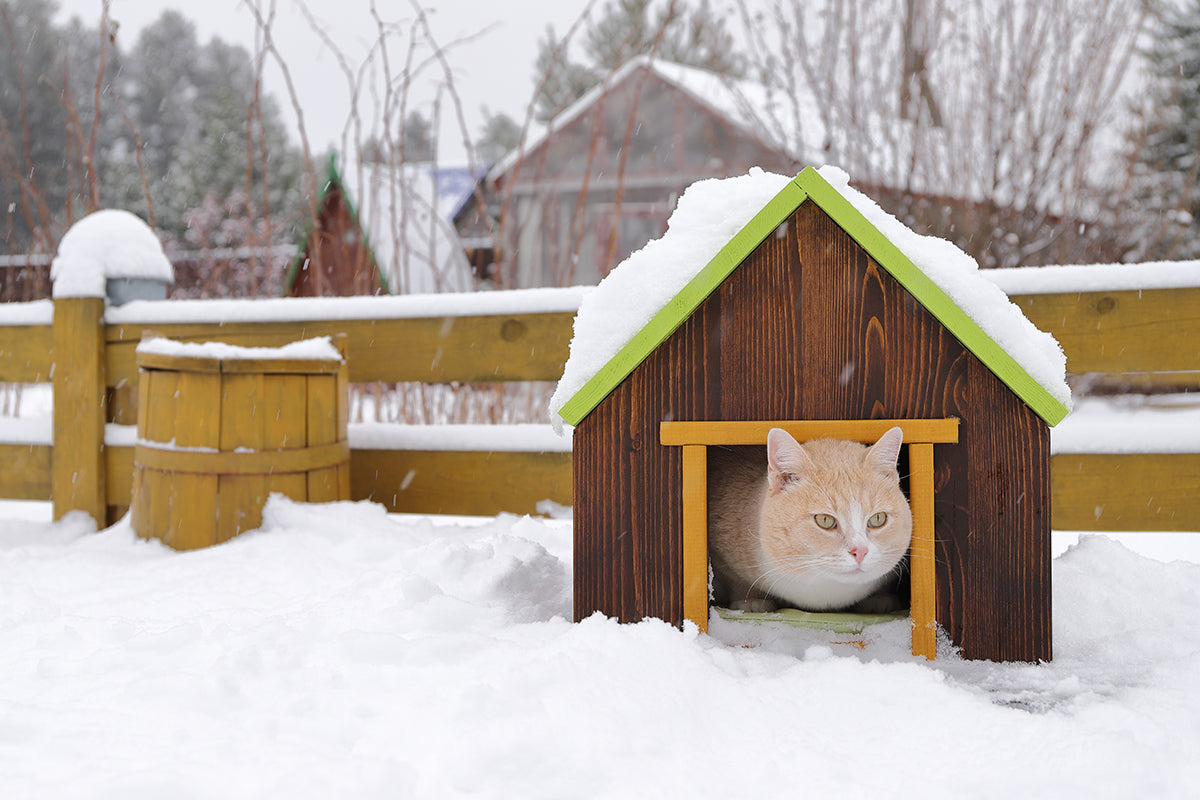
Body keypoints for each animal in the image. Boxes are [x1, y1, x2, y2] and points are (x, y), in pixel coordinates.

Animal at [710, 431, 907, 614]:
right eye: (825, 520)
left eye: (878, 518)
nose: (860, 551)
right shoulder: (724, 556)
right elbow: (737, 580)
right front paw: (750, 601)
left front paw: (879, 598)